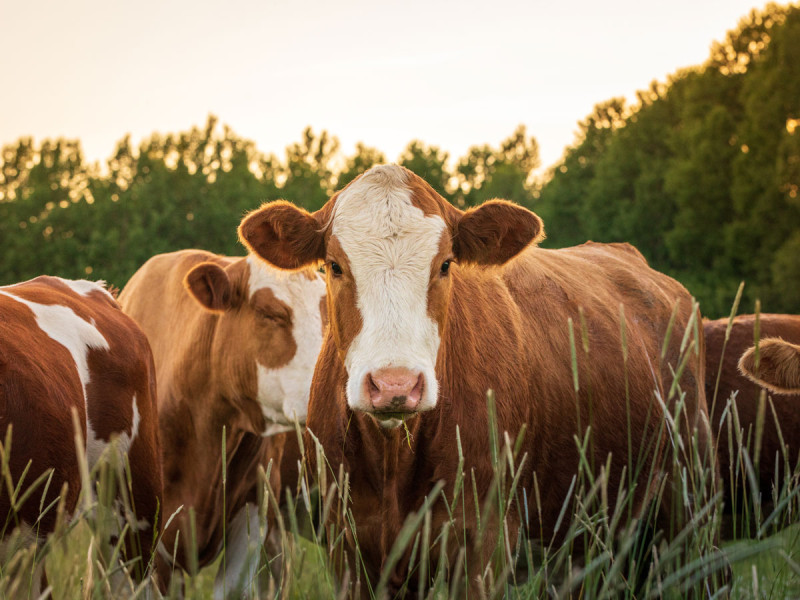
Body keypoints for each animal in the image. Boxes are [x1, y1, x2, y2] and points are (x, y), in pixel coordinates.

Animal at [236, 163, 712, 596]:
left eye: (446, 264)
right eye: (334, 266)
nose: (395, 385)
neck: (393, 459)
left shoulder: (483, 544)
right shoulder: (347, 548)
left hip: (686, 500)